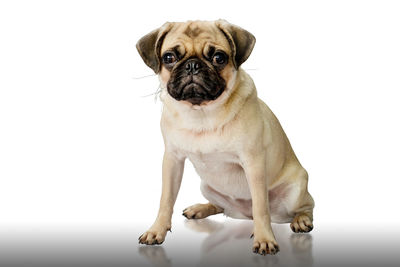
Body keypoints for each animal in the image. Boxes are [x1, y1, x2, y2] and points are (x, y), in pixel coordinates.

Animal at [136, 19, 314, 255]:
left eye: (218, 58)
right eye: (169, 58)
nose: (192, 65)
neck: (202, 113)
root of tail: (243, 215)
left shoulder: (254, 163)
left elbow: (261, 207)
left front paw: (264, 238)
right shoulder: (173, 160)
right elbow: (165, 199)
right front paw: (156, 230)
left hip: (296, 191)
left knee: (305, 207)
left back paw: (301, 220)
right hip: (207, 187)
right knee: (220, 206)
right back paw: (200, 209)